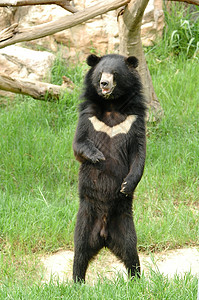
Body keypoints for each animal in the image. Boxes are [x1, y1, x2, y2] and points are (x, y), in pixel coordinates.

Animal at [72, 54, 146, 284]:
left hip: (125, 224)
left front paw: (125, 186)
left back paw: (137, 281)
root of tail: (104, 237)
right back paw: (76, 282)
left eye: (115, 74)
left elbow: (139, 154)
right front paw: (98, 156)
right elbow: (78, 144)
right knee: (80, 251)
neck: (112, 104)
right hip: (85, 218)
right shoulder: (88, 116)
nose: (104, 84)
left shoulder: (134, 119)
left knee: (131, 252)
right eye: (99, 74)